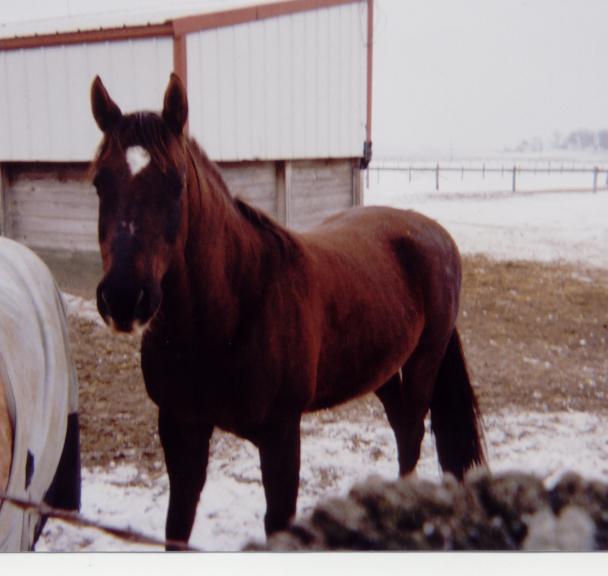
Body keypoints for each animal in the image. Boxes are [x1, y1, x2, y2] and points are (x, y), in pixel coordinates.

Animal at [90, 73, 486, 549]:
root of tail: (435, 233)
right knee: (402, 427)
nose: (123, 298)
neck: (231, 312)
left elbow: (277, 520)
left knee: (411, 432)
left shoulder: (281, 434)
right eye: (99, 182)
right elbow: (177, 527)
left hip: (424, 361)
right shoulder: (180, 427)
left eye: (176, 183)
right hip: (382, 369)